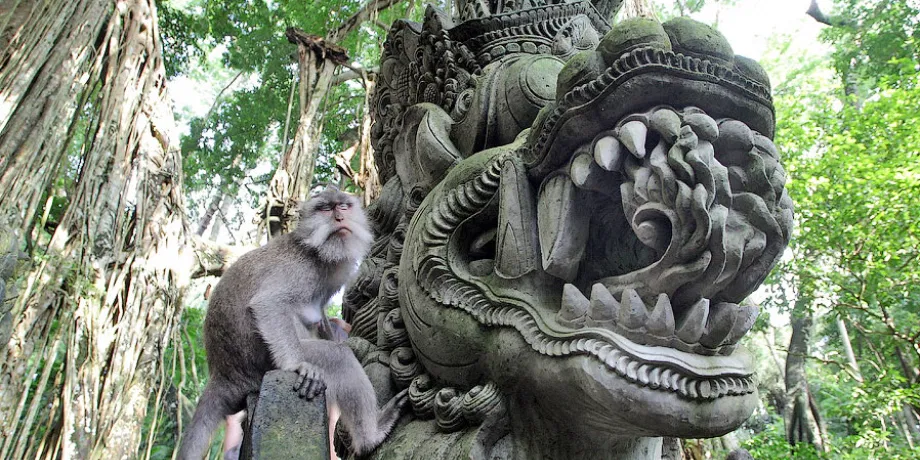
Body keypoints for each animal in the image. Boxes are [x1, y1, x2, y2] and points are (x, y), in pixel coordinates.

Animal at [178, 186, 408, 460]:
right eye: (325, 208)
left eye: (343, 206)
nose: (339, 217)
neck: (316, 251)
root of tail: (222, 374)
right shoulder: (298, 269)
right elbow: (269, 304)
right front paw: (297, 365)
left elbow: (318, 313)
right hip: (261, 365)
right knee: (337, 356)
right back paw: (371, 437)